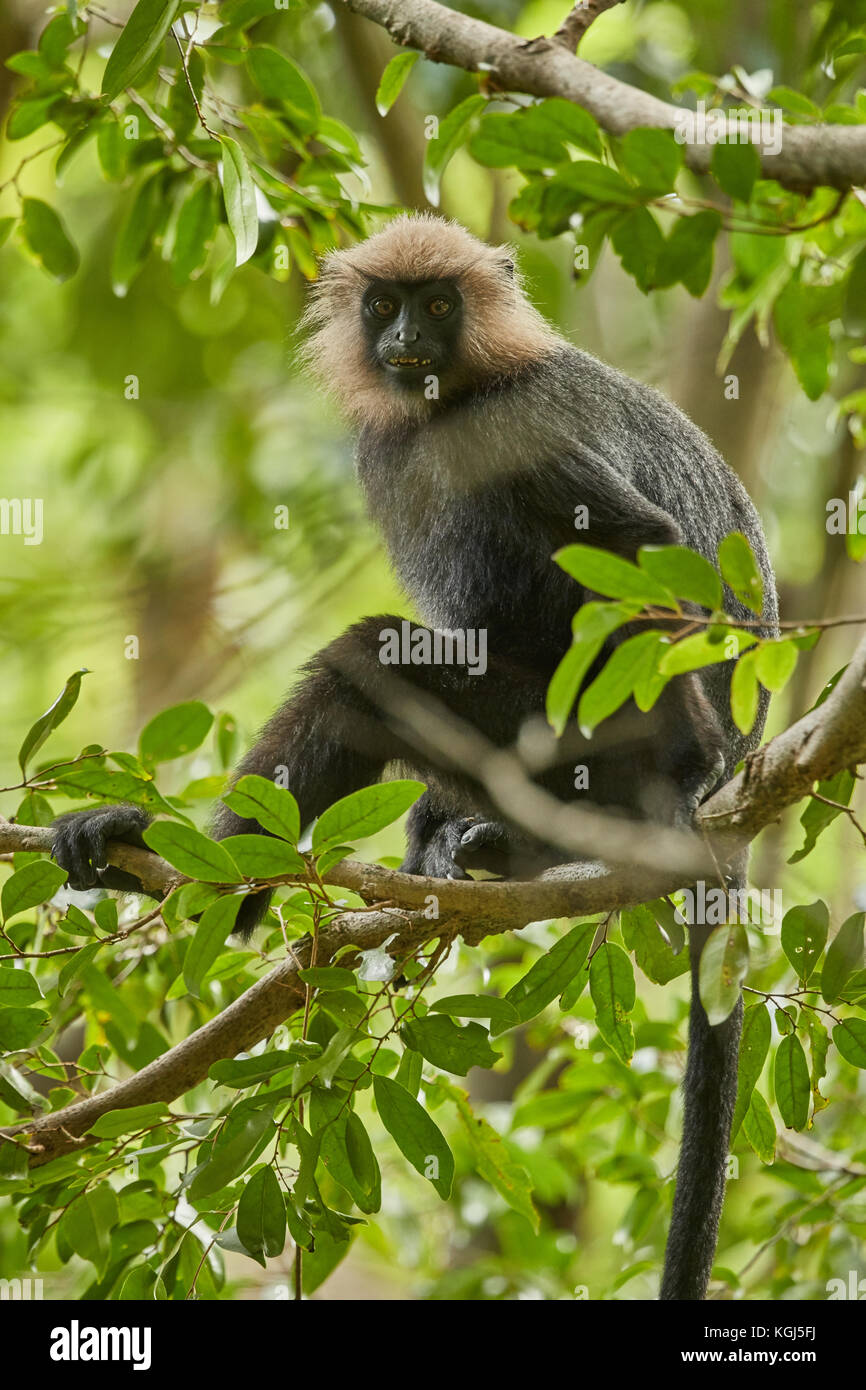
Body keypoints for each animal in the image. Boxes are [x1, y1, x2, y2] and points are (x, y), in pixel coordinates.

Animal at [52, 211, 778, 1295]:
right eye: (385, 304)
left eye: (438, 304)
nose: (406, 340)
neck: (452, 401)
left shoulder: (520, 431)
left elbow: (638, 544)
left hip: (584, 735)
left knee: (374, 660)